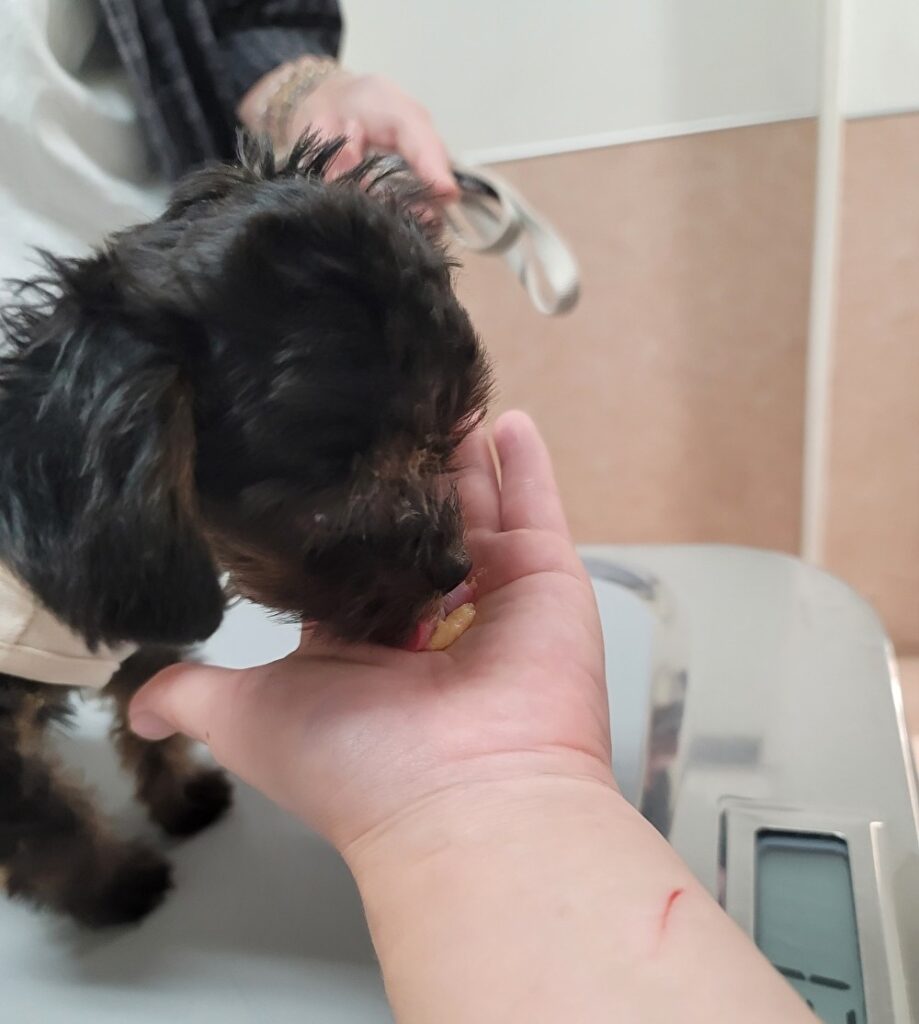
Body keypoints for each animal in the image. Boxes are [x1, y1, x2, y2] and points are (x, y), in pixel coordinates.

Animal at [0, 134, 492, 926]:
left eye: (439, 438)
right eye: (330, 501)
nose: (454, 566)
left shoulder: (141, 599)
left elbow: (146, 708)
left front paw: (178, 796)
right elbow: (49, 824)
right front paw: (112, 887)